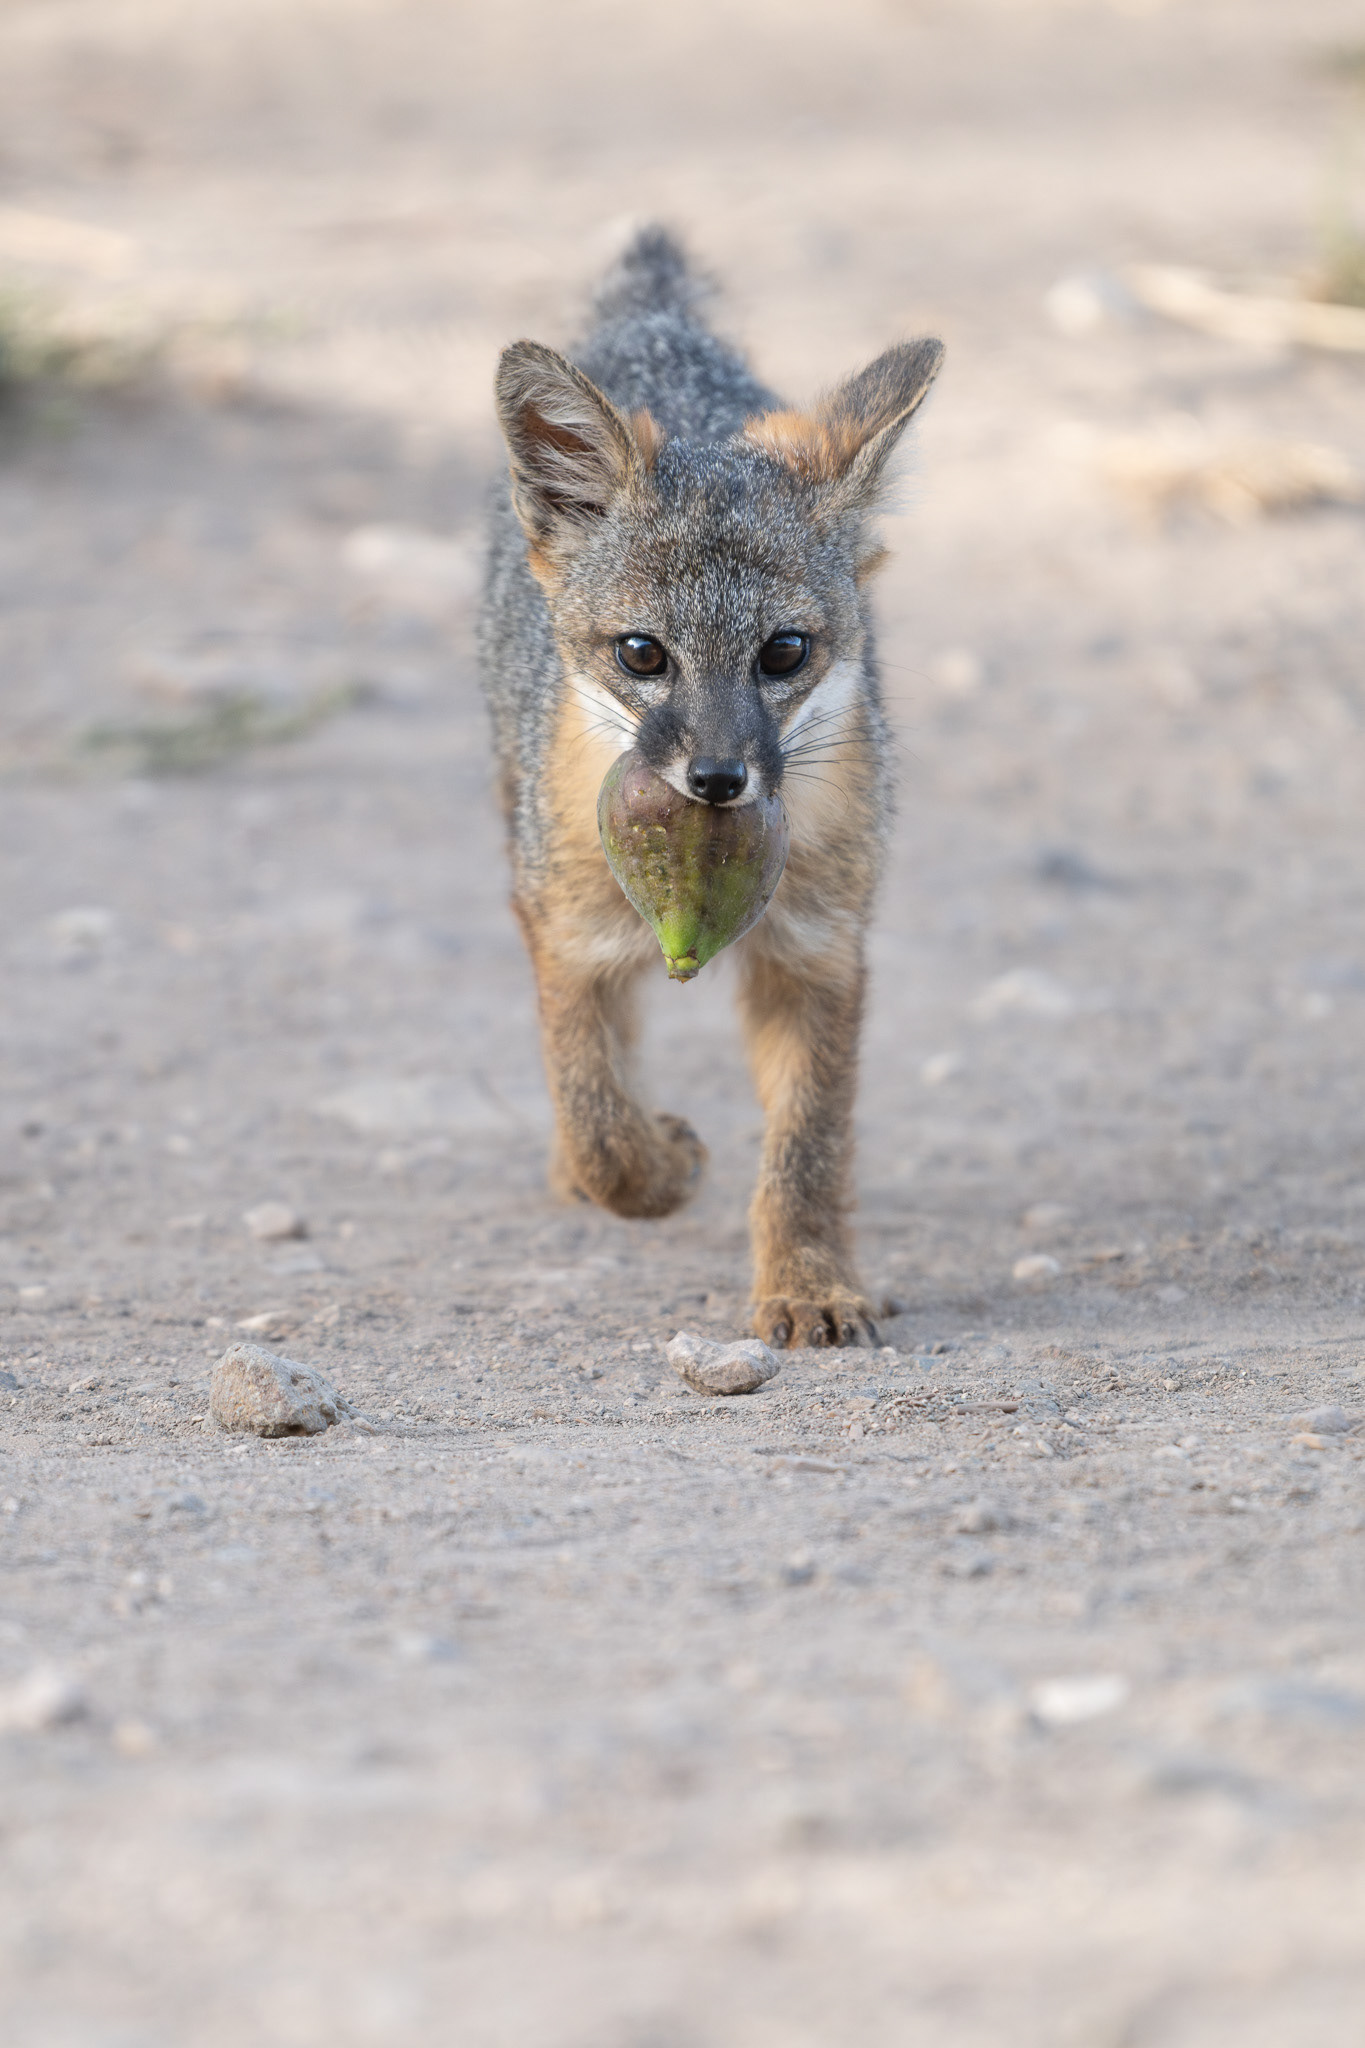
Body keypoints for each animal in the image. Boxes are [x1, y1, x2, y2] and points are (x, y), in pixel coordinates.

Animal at [479, 226, 942, 1349]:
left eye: (785, 652)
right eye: (643, 654)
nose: (719, 776)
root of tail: (661, 329)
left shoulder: (820, 954)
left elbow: (808, 1148)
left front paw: (810, 1283)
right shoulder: (566, 934)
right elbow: (597, 1115)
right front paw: (659, 1166)